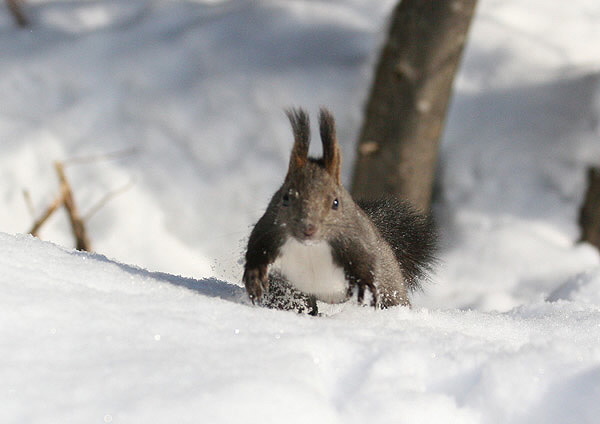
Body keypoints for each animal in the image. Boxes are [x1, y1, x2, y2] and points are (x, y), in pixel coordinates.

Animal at [243, 107, 436, 314]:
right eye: (285, 198)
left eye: (336, 203)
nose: (308, 229)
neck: (311, 246)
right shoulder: (270, 228)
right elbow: (256, 247)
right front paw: (254, 275)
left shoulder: (355, 236)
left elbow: (363, 259)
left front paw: (363, 283)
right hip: (289, 288)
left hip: (388, 283)